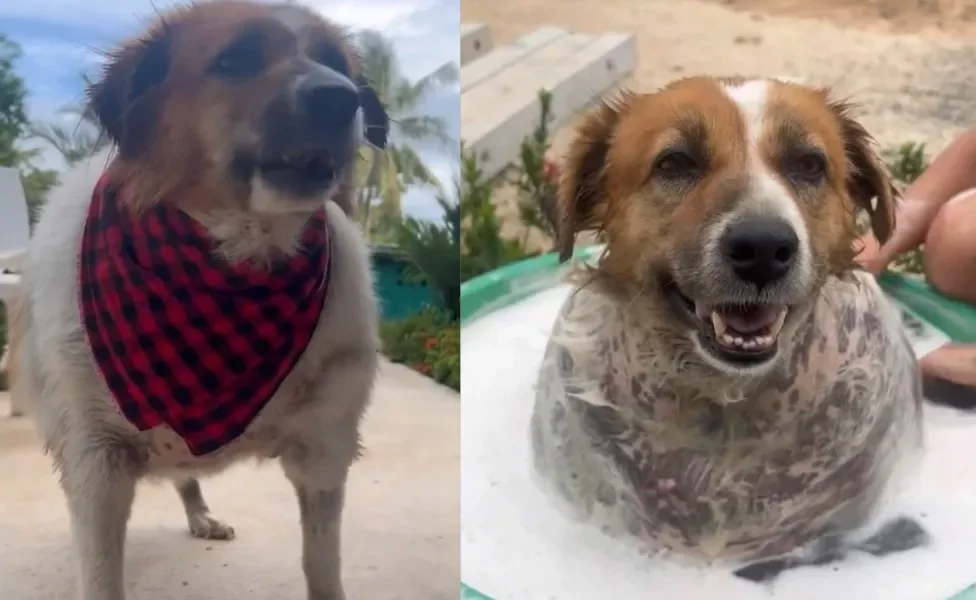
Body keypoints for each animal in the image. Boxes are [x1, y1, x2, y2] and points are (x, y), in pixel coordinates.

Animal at [13, 2, 388, 596]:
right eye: (236, 59)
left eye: (336, 63)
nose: (339, 97)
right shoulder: (96, 462)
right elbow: (101, 574)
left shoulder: (323, 450)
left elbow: (322, 565)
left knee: (186, 477)